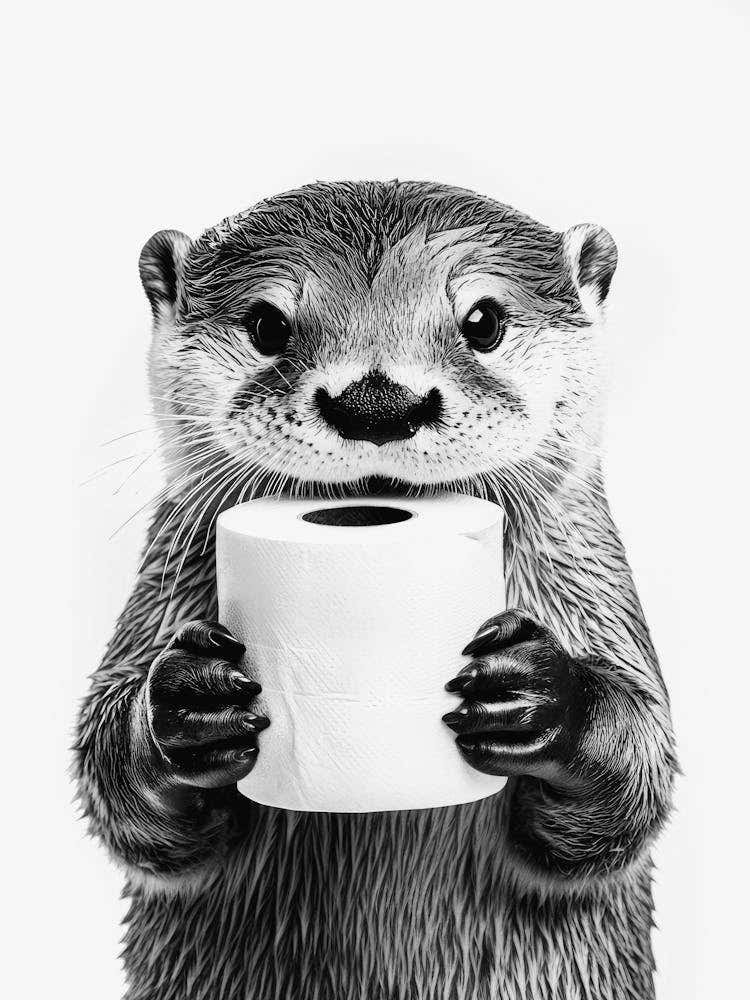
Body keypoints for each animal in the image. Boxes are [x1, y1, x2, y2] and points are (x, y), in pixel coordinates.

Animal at [75, 180, 676, 1000]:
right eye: (267, 323)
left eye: (483, 321)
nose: (377, 403)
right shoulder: (163, 586)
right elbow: (115, 783)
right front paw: (183, 704)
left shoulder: (598, 588)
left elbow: (639, 772)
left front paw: (541, 694)